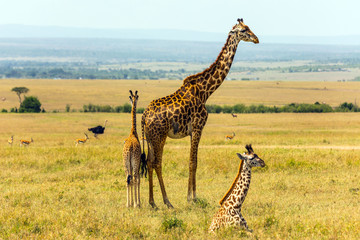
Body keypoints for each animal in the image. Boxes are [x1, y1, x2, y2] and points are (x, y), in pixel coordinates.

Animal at [141, 17, 258, 208]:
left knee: (150, 162)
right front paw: (192, 198)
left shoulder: (192, 131)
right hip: (160, 135)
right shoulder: (197, 128)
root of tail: (144, 116)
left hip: (151, 137)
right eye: (243, 30)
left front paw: (191, 196)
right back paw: (167, 201)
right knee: (157, 162)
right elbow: (193, 162)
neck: (205, 91)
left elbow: (193, 161)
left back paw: (152, 202)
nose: (256, 39)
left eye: (249, 27)